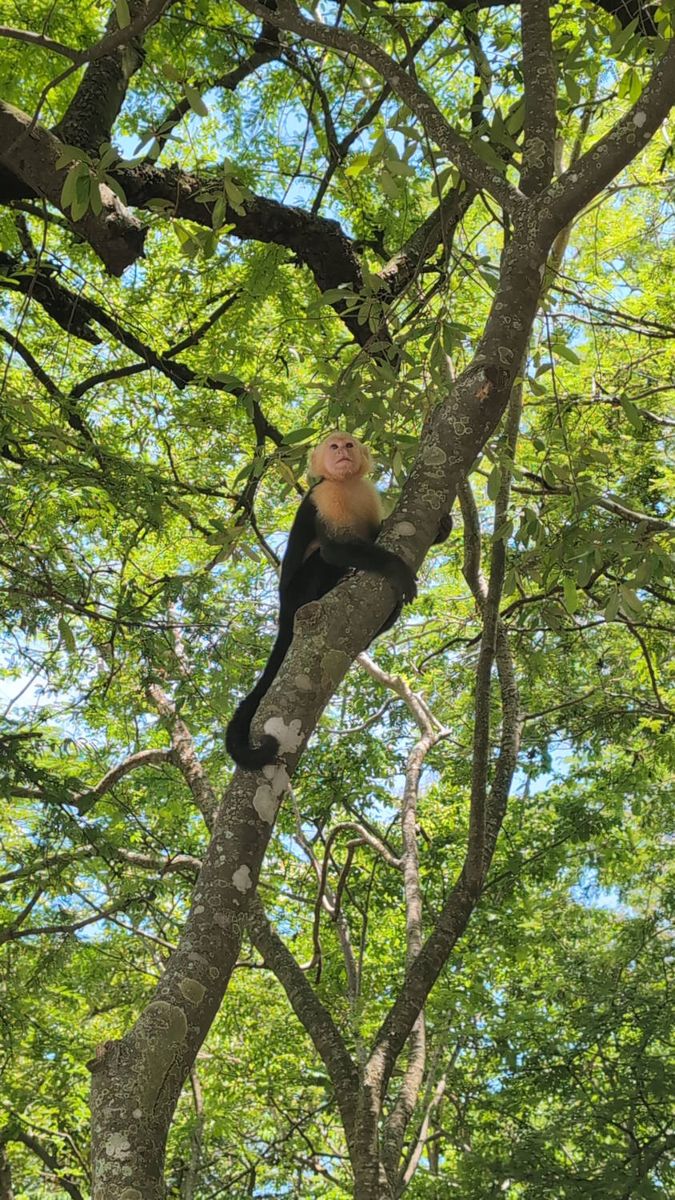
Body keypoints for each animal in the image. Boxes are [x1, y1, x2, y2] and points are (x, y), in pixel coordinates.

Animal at [226, 432, 452, 769]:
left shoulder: (367, 493)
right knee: (321, 559)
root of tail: (284, 613)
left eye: (349, 445)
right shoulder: (325, 495)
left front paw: (442, 529)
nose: (342, 452)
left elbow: (378, 530)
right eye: (333, 446)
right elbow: (333, 549)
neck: (345, 484)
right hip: (299, 592)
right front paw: (396, 568)